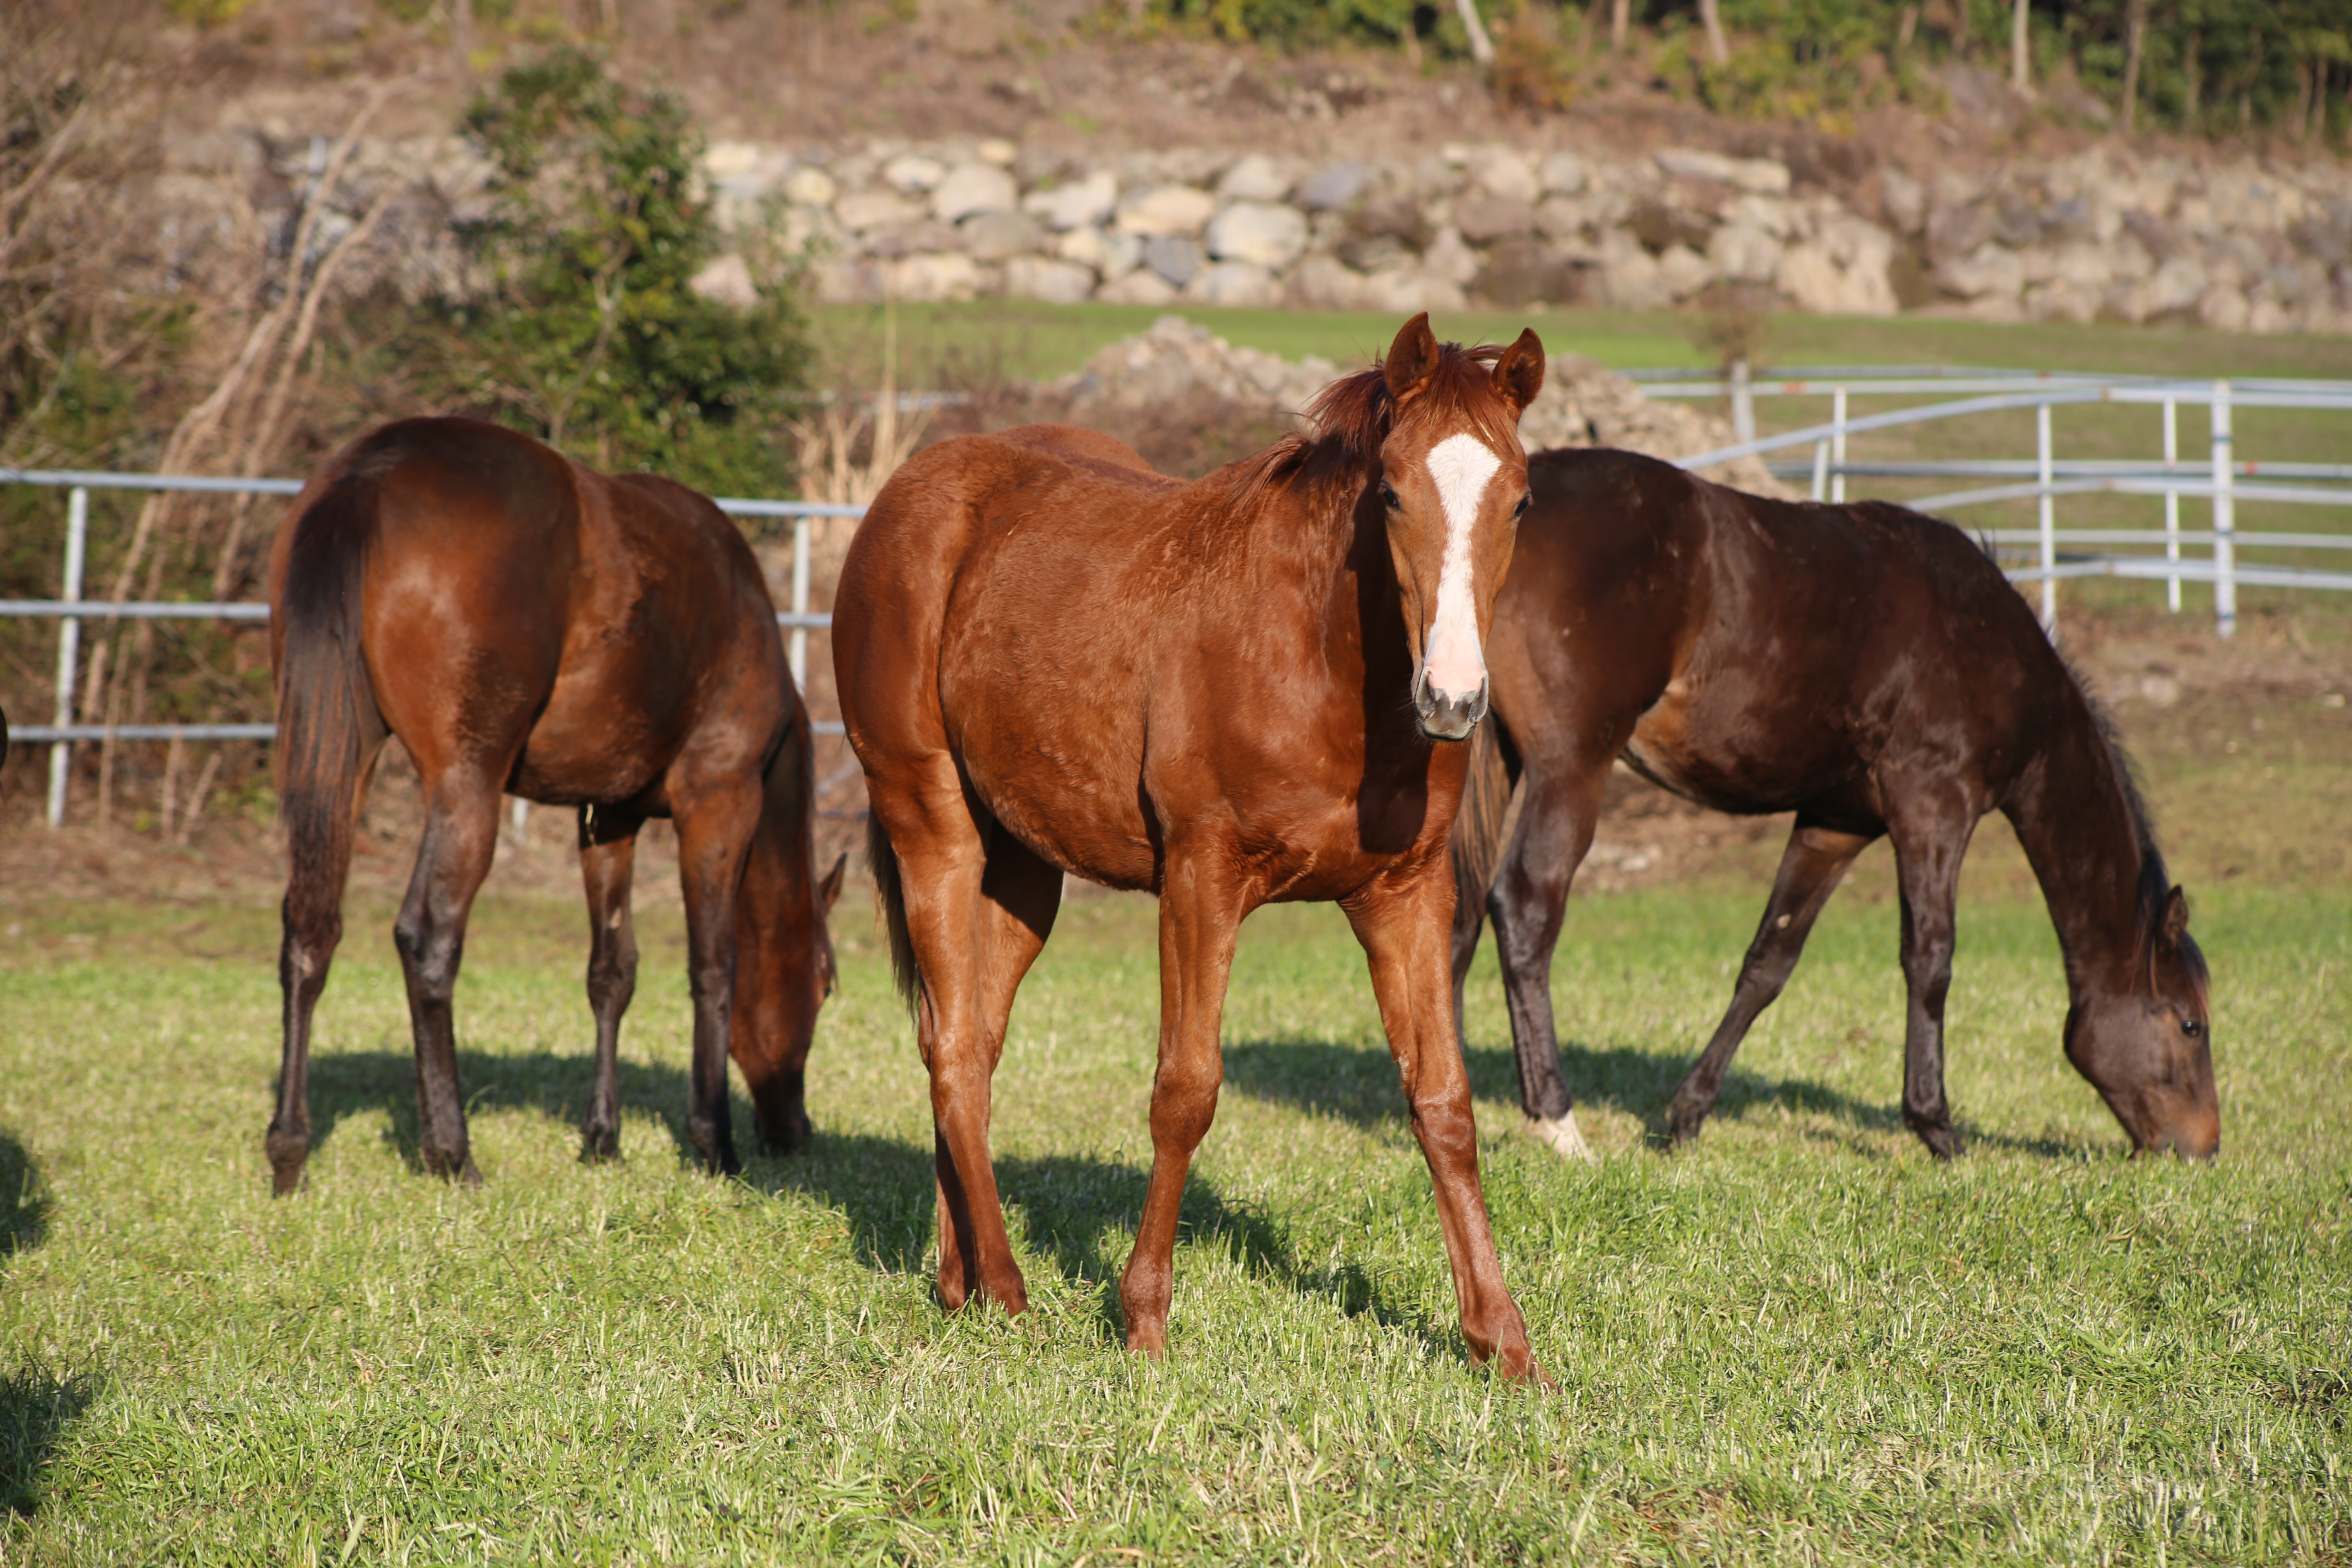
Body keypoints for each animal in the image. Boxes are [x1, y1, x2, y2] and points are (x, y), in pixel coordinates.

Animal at [267, 421, 846, 1203]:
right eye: (824, 982)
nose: (795, 1130)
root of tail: (374, 469)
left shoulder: (608, 817)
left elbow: (612, 973)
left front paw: (604, 1141)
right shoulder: (719, 802)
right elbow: (714, 969)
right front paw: (713, 1144)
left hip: (340, 755)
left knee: (311, 929)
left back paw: (289, 1152)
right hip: (466, 784)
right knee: (428, 939)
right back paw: (452, 1152)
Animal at [837, 315, 1552, 1373]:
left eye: (1520, 496)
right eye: (1389, 490)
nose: (1453, 698)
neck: (1312, 656)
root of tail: (908, 488)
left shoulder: (1406, 895)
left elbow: (1444, 1103)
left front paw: (1500, 1341)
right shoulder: (1200, 881)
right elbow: (1185, 1090)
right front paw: (1142, 1321)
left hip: (1024, 869)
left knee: (963, 1037)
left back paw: (957, 1278)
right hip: (932, 824)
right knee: (956, 1047)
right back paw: (1006, 1289)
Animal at [1439, 446, 2211, 1161]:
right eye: (2190, 1024)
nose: (2203, 1149)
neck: (1996, 652)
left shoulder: (1836, 822)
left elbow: (1768, 963)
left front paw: (1687, 1116)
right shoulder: (1935, 807)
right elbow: (1931, 960)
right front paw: (1936, 1127)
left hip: (1491, 756)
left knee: (1457, 912)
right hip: (1572, 764)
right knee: (1526, 907)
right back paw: (1556, 1120)